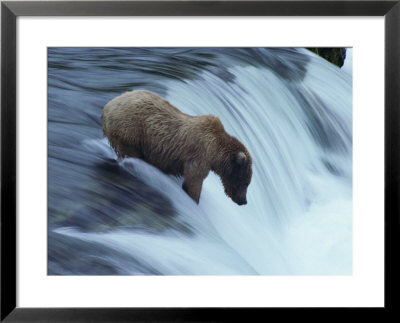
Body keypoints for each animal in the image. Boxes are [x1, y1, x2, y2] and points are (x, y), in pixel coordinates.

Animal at [101, 89, 252, 205]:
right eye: (245, 183)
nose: (243, 201)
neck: (216, 154)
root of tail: (108, 106)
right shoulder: (201, 156)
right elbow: (193, 180)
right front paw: (194, 200)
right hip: (130, 132)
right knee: (131, 154)